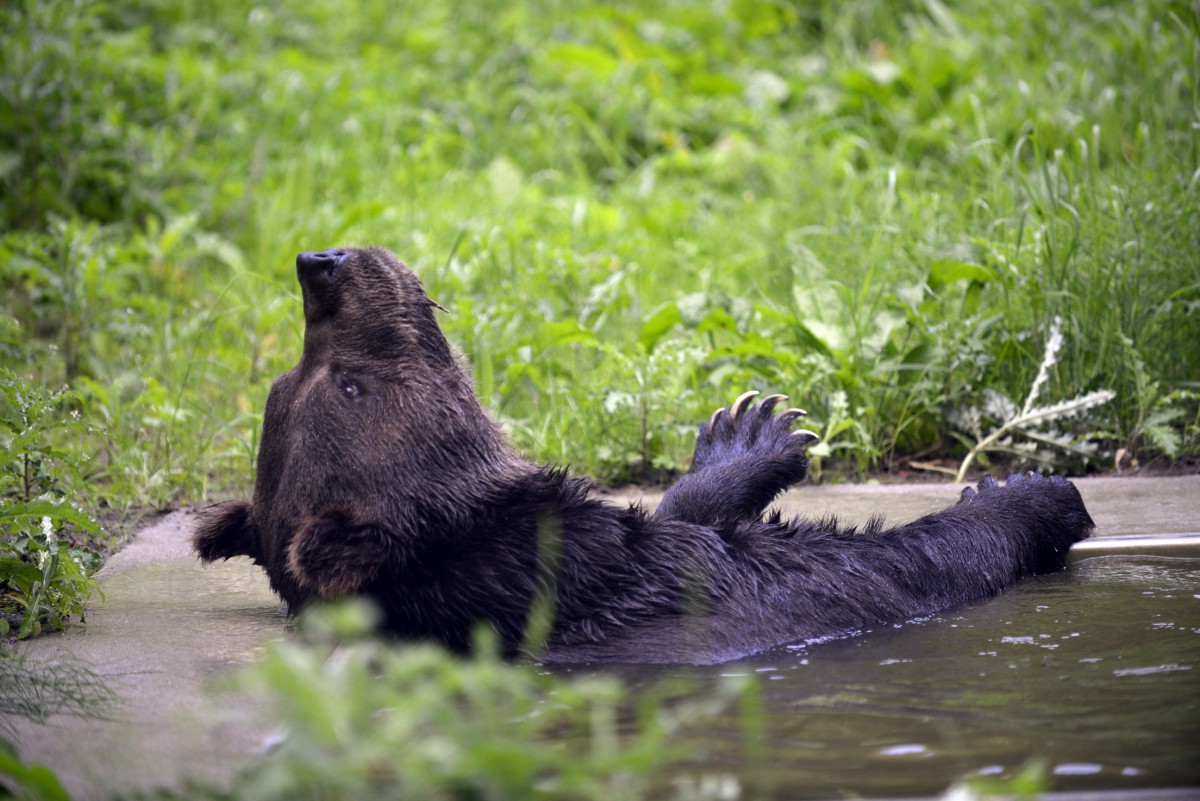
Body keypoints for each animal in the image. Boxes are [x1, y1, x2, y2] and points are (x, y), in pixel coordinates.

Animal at [193, 246, 1094, 664]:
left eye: (285, 379)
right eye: (347, 384)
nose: (322, 263)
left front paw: (749, 430)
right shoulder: (650, 577)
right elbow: (888, 563)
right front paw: (1027, 492)